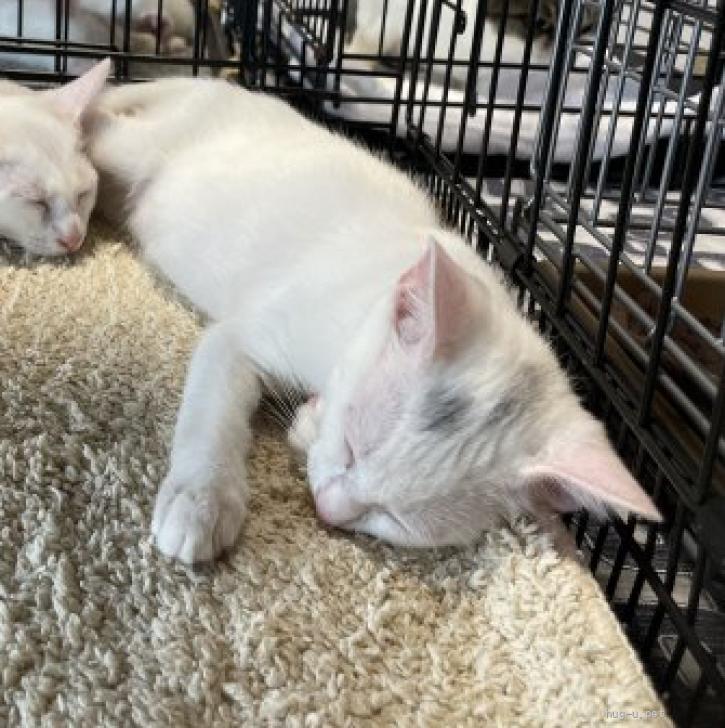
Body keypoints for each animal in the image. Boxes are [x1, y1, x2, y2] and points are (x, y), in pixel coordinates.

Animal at [86, 75, 661, 564]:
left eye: (396, 518)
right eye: (352, 448)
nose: (328, 510)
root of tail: (213, 86)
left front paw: (305, 426)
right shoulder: (245, 335)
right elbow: (215, 409)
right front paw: (200, 500)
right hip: (137, 147)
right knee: (95, 128)